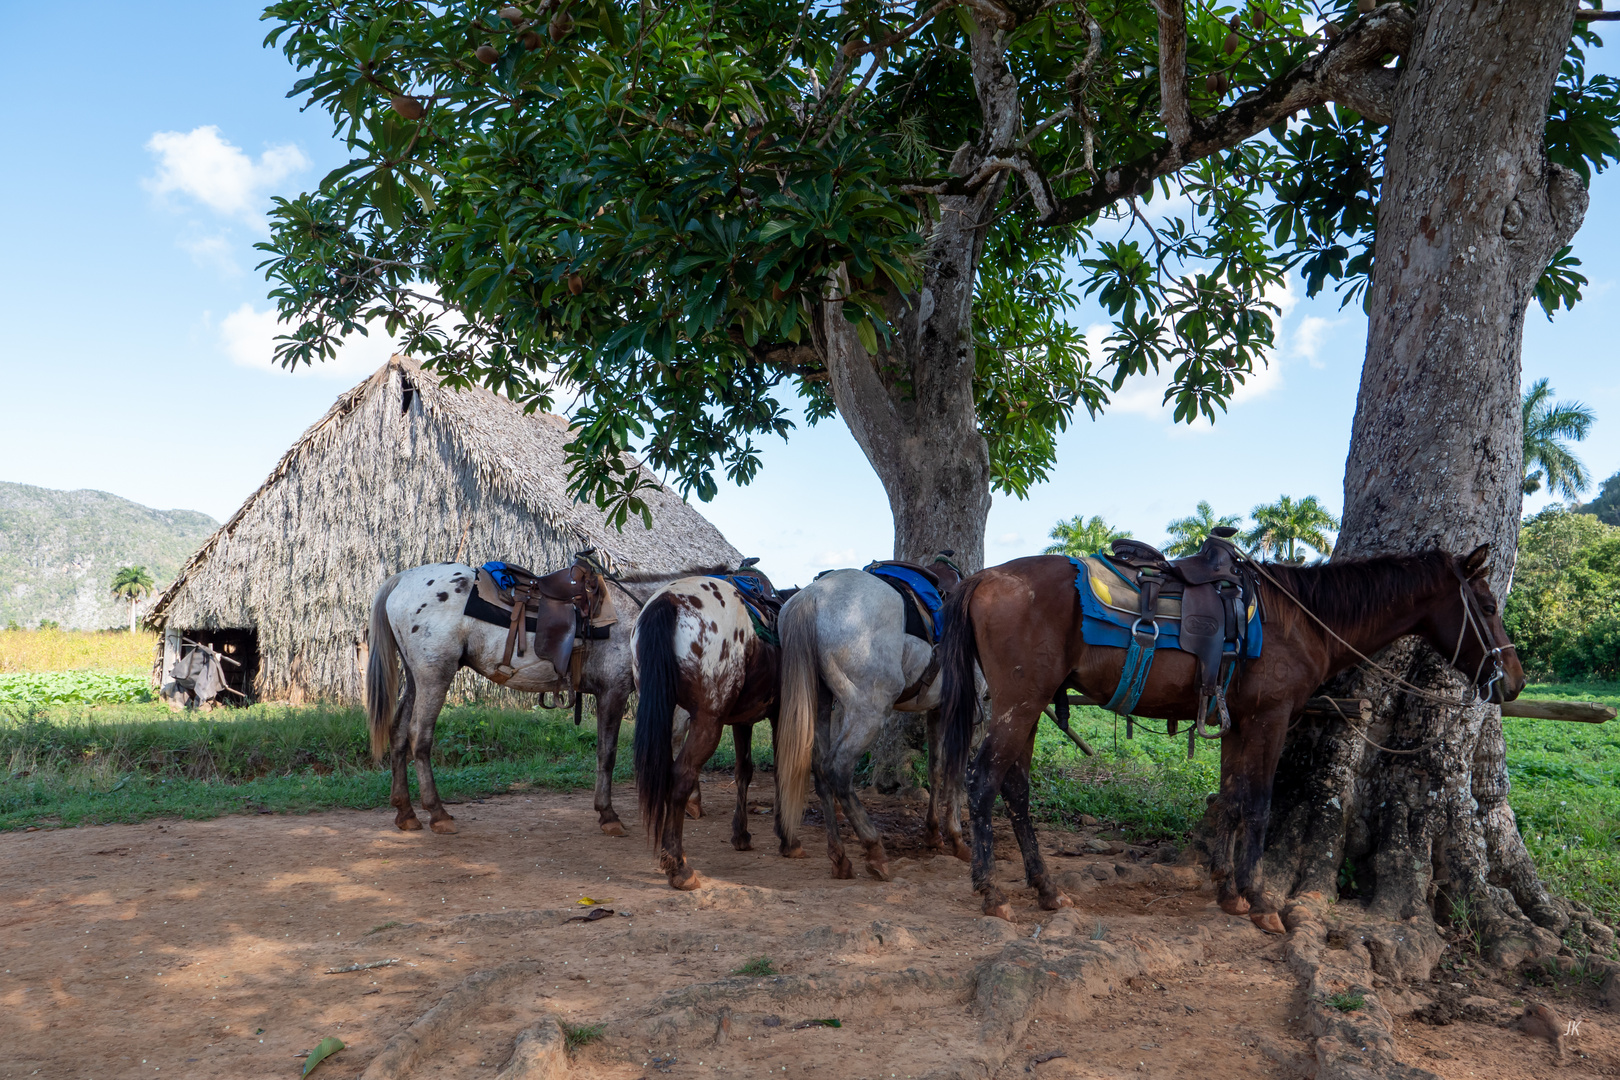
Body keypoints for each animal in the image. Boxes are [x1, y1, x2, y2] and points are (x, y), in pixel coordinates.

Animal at [631, 573, 810, 887]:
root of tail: (669, 600)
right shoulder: (780, 714)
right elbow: (781, 770)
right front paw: (788, 839)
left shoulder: (742, 721)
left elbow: (743, 772)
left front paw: (741, 835)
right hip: (707, 721)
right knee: (681, 776)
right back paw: (678, 866)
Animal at [777, 563, 965, 880]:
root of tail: (812, 596)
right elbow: (955, 770)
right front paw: (957, 837)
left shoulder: (937, 710)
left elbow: (937, 768)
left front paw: (933, 833)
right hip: (869, 711)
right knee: (837, 769)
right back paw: (873, 848)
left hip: (822, 703)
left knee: (820, 768)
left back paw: (840, 857)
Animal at [939, 544, 1516, 932]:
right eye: (1488, 607)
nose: (1512, 679)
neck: (1301, 619)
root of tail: (985, 578)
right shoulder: (1270, 718)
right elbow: (1258, 802)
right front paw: (1258, 901)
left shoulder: (1239, 720)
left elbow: (1234, 797)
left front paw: (1227, 888)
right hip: (1019, 704)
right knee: (983, 782)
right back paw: (991, 892)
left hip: (1028, 708)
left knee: (1016, 790)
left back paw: (1047, 890)